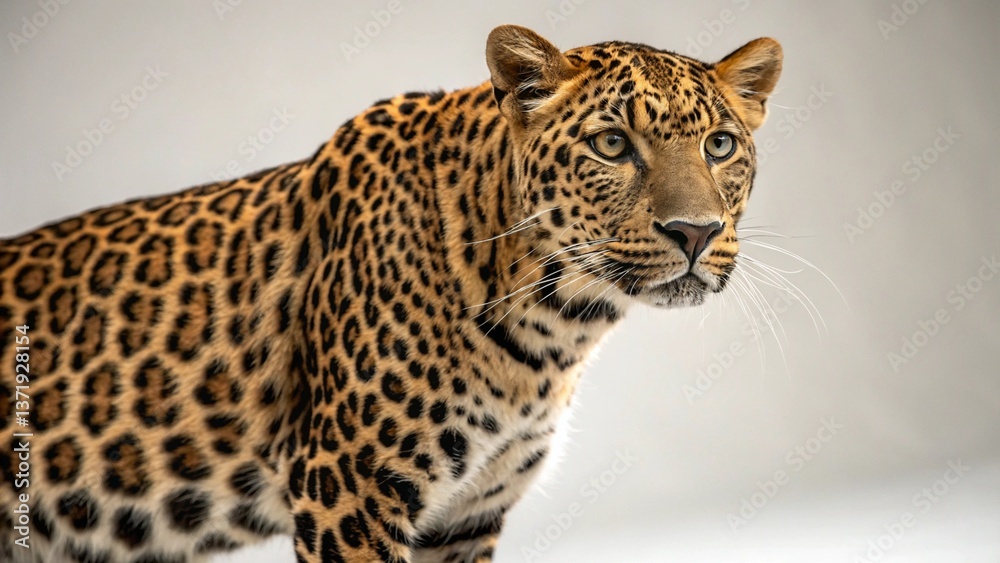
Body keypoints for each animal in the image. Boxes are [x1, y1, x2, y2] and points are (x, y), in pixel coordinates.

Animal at [0, 25, 782, 563]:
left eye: (719, 145)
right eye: (613, 145)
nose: (695, 232)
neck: (552, 324)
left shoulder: (465, 515)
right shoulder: (346, 488)